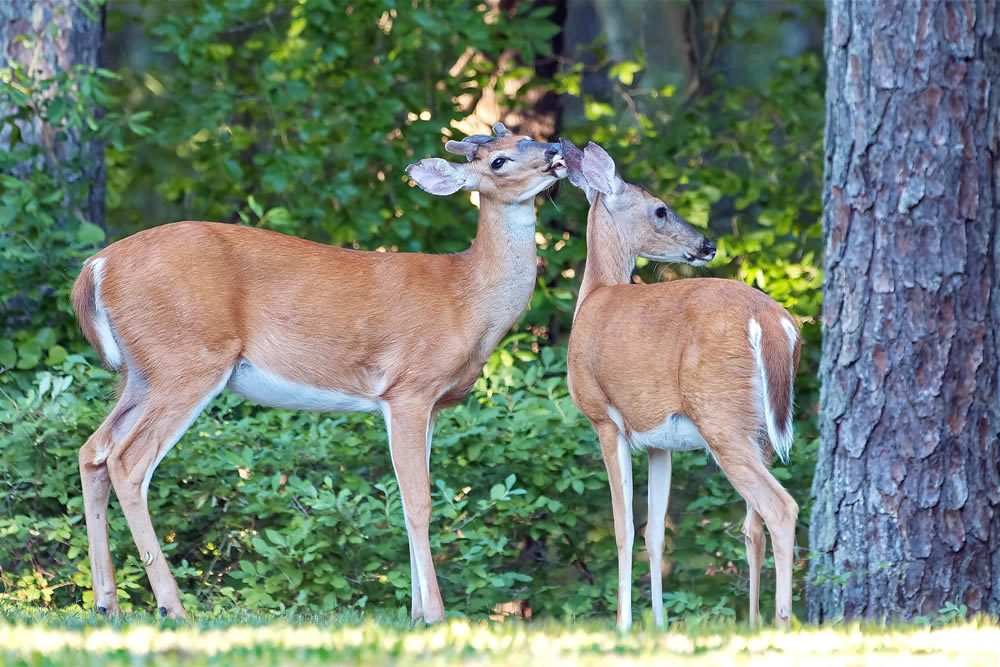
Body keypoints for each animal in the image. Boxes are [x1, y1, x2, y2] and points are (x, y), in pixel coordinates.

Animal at [72, 124, 564, 620]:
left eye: (525, 137)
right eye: (499, 160)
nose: (555, 150)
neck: (467, 298)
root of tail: (96, 267)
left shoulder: (431, 406)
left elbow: (405, 498)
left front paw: (414, 615)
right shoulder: (410, 387)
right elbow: (418, 503)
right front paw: (435, 616)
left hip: (142, 372)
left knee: (94, 450)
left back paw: (107, 604)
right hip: (187, 359)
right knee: (128, 461)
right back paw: (172, 607)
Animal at [564, 138, 804, 628]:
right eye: (660, 209)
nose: (707, 245)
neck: (594, 296)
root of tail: (774, 322)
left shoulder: (605, 418)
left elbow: (623, 528)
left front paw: (624, 625)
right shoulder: (659, 441)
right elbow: (654, 533)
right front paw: (657, 625)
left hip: (720, 414)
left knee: (780, 508)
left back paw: (782, 622)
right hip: (761, 430)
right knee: (752, 526)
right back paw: (754, 623)